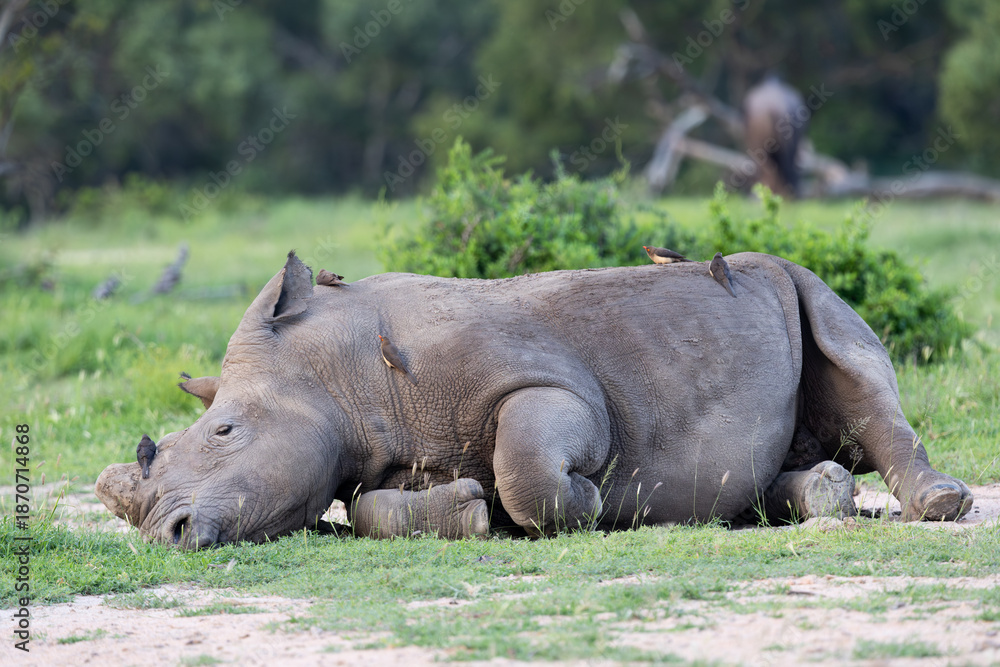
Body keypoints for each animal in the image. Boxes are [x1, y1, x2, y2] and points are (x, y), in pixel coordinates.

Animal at [96, 252, 973, 548]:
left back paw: (943, 504)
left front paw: (588, 503)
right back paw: (816, 495)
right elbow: (373, 509)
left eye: (225, 430)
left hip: (802, 282)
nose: (167, 532)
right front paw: (474, 511)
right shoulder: (369, 455)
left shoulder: (555, 384)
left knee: (856, 362)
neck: (334, 371)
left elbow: (528, 461)